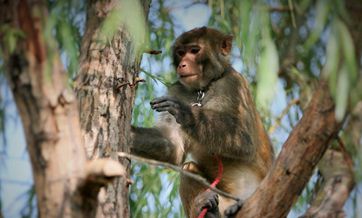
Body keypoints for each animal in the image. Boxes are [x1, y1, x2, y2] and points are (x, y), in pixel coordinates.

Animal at [132, 27, 272, 218]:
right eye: (181, 53)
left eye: (194, 50)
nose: (182, 64)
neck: (203, 89)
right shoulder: (177, 89)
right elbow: (173, 147)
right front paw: (129, 134)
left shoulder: (234, 84)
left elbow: (244, 142)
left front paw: (186, 113)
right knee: (189, 168)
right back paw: (207, 210)